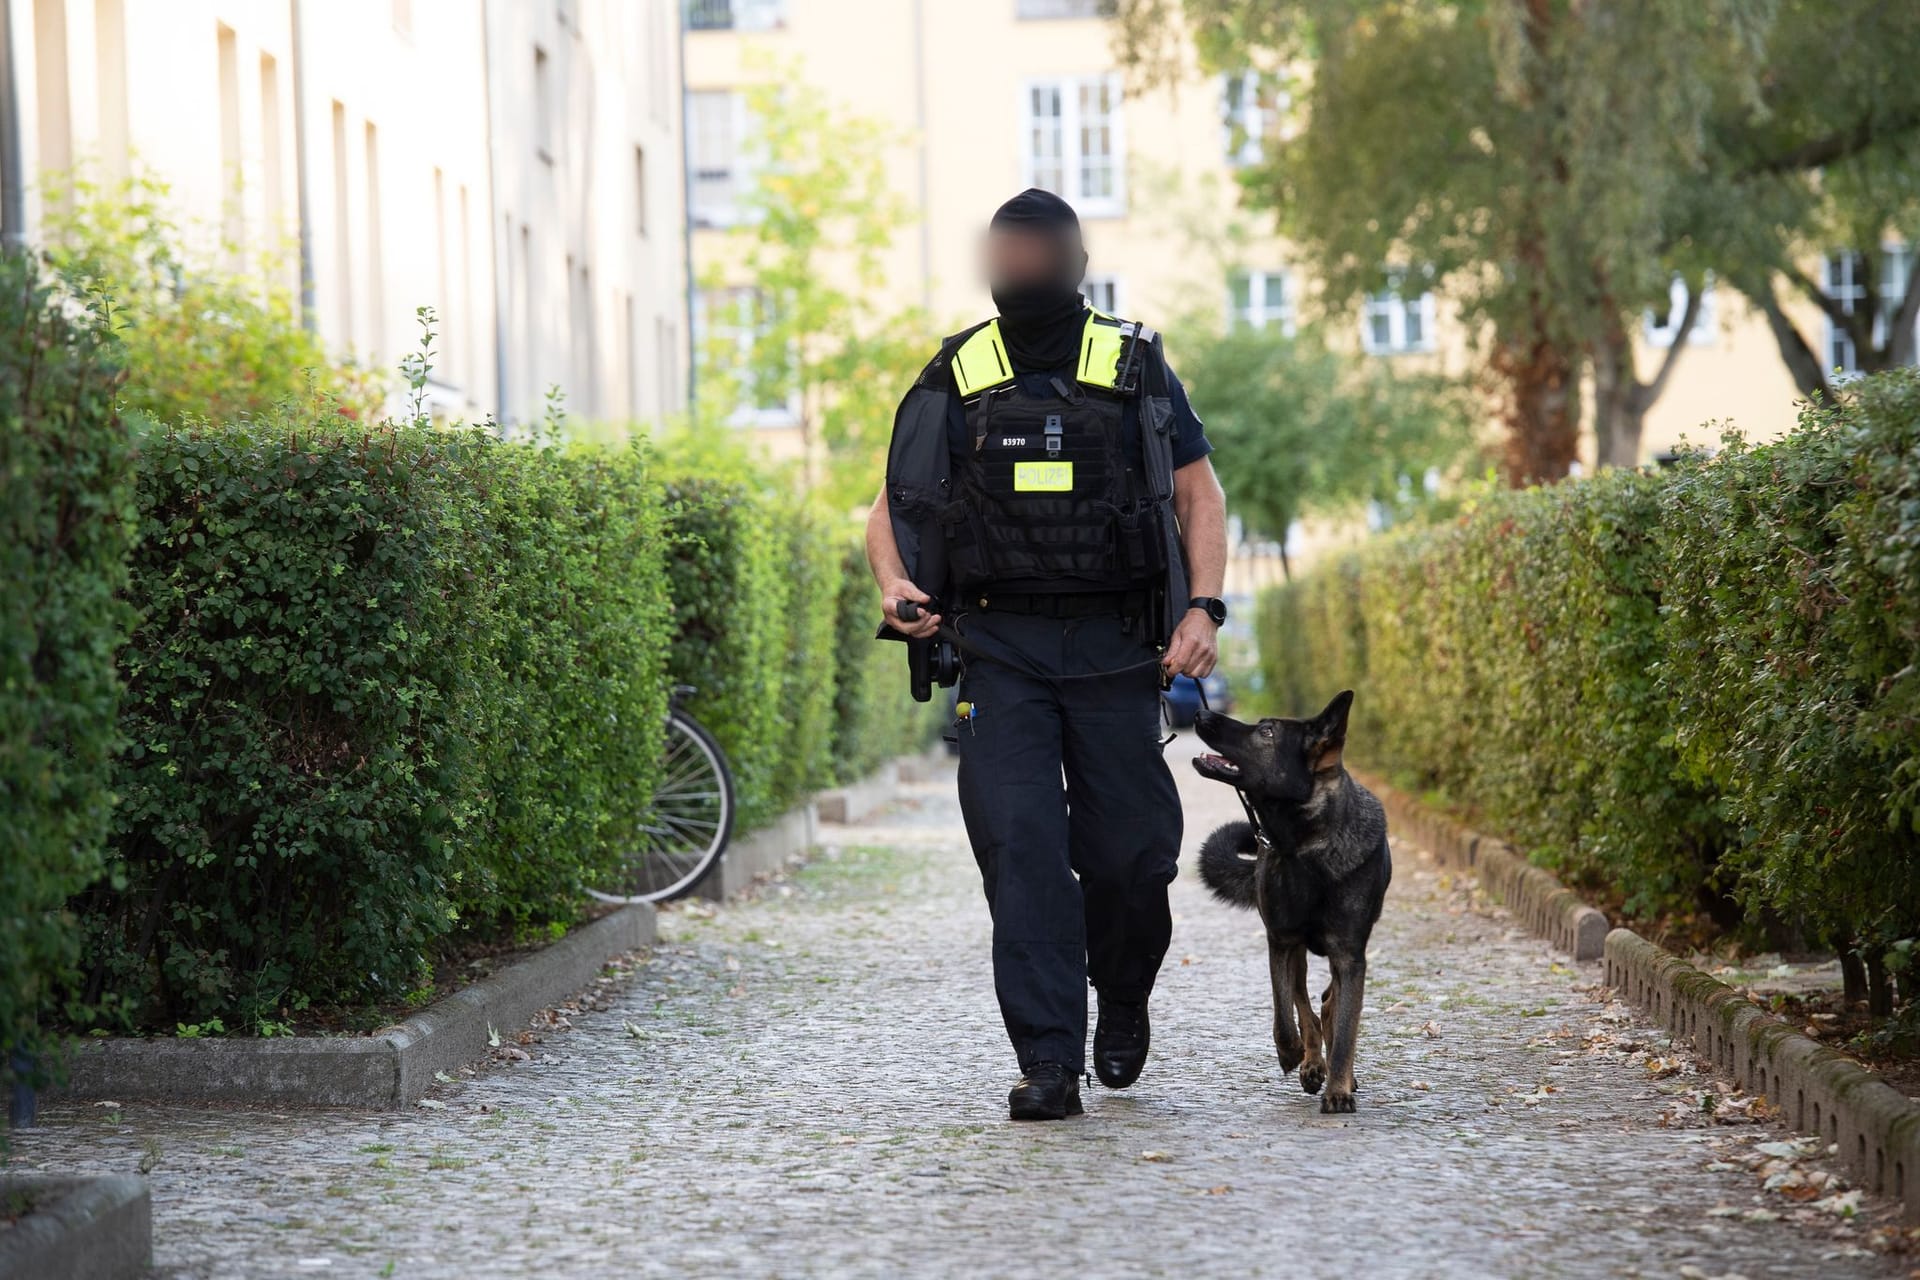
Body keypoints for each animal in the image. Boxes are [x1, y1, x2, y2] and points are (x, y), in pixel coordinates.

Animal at [1190, 690, 1390, 1113]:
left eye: (1266, 731)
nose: (1200, 713)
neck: (1304, 847)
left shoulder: (1349, 956)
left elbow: (1345, 1028)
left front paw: (1339, 1088)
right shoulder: (1281, 941)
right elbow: (1285, 1014)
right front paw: (1294, 1054)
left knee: (1330, 1004)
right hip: (1297, 952)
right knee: (1306, 1005)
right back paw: (1311, 1062)